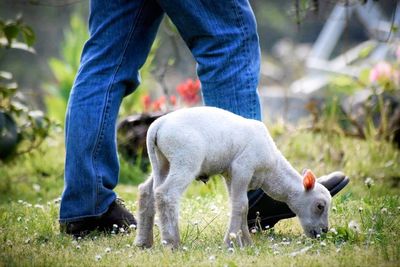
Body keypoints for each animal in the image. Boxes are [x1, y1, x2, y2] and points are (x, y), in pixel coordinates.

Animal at [134, 106, 332, 249]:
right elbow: (241, 204)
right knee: (166, 194)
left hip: (162, 161)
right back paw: (172, 242)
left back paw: (143, 241)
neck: (272, 170)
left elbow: (242, 206)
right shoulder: (243, 167)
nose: (324, 231)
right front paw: (231, 243)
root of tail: (158, 126)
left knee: (147, 191)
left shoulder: (231, 175)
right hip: (185, 159)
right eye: (319, 206)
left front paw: (245, 243)